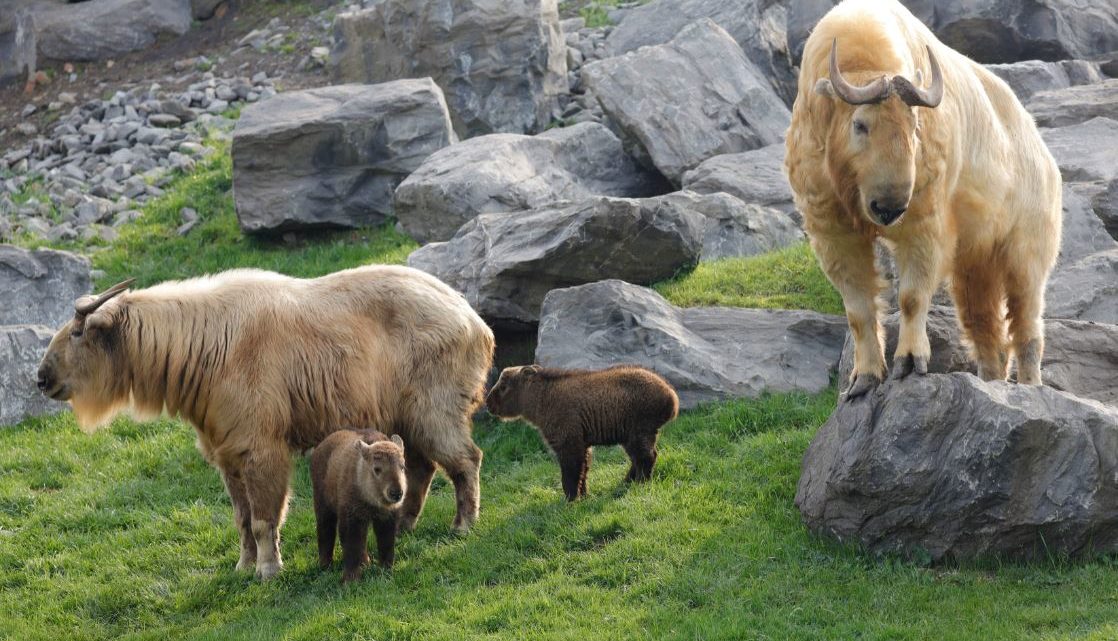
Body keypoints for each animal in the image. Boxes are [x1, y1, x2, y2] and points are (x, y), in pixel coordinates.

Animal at [310, 427, 406, 581]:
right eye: (377, 469)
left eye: (402, 466)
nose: (396, 493)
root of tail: (319, 448)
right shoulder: (351, 517)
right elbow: (351, 545)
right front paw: (351, 578)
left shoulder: (386, 518)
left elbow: (386, 543)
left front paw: (386, 570)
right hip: (323, 505)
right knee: (325, 531)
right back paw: (325, 565)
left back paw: (365, 561)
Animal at [489, 364, 679, 498]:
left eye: (504, 386)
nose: (488, 403)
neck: (543, 398)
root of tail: (672, 397)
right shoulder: (583, 445)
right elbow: (583, 472)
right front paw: (585, 496)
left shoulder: (569, 445)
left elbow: (570, 476)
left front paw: (571, 500)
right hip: (632, 437)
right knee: (638, 460)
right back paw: (627, 482)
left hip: (639, 433)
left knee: (647, 458)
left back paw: (640, 484)